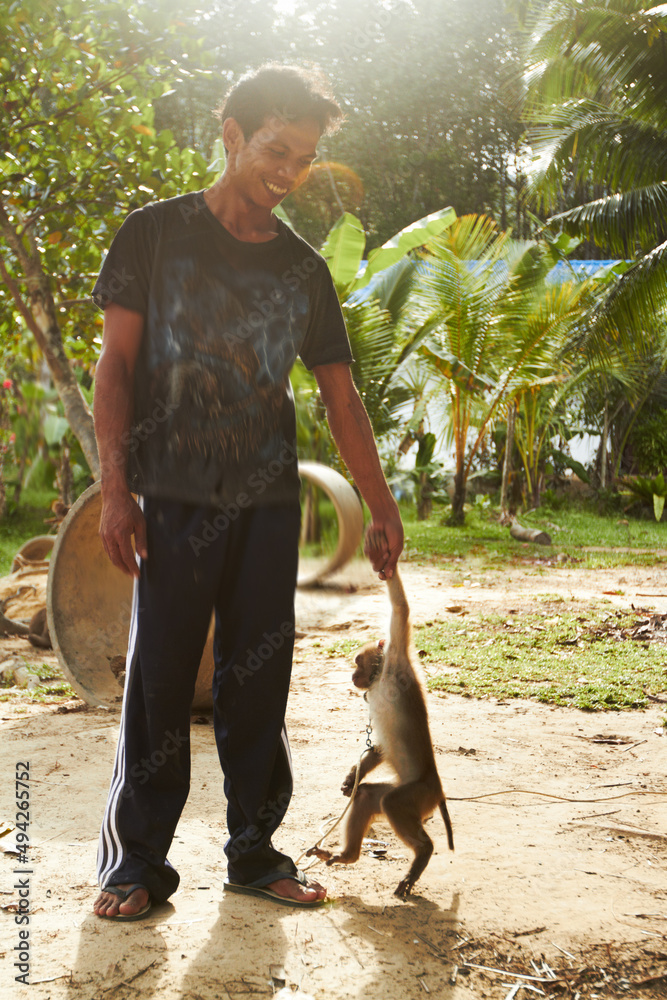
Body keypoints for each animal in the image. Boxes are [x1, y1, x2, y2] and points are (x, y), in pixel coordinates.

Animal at [308, 572, 454, 900]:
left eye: (357, 662)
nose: (352, 676)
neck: (380, 676)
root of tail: (438, 788)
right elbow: (380, 749)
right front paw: (352, 776)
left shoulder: (398, 658)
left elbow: (400, 608)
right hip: (410, 794)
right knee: (367, 796)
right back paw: (348, 855)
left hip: (417, 794)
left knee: (392, 804)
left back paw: (423, 852)